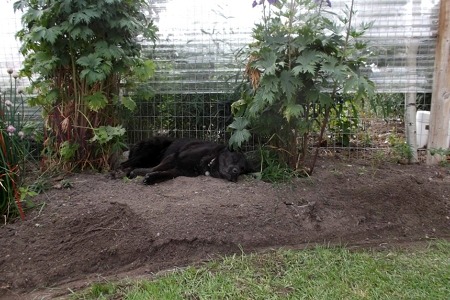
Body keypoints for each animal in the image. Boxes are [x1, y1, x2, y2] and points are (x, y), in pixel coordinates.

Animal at [119, 137, 251, 184]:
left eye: (242, 170)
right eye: (234, 159)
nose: (235, 174)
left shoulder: (180, 170)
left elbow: (165, 175)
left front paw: (152, 178)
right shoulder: (174, 157)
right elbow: (154, 169)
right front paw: (138, 173)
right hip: (146, 154)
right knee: (123, 164)